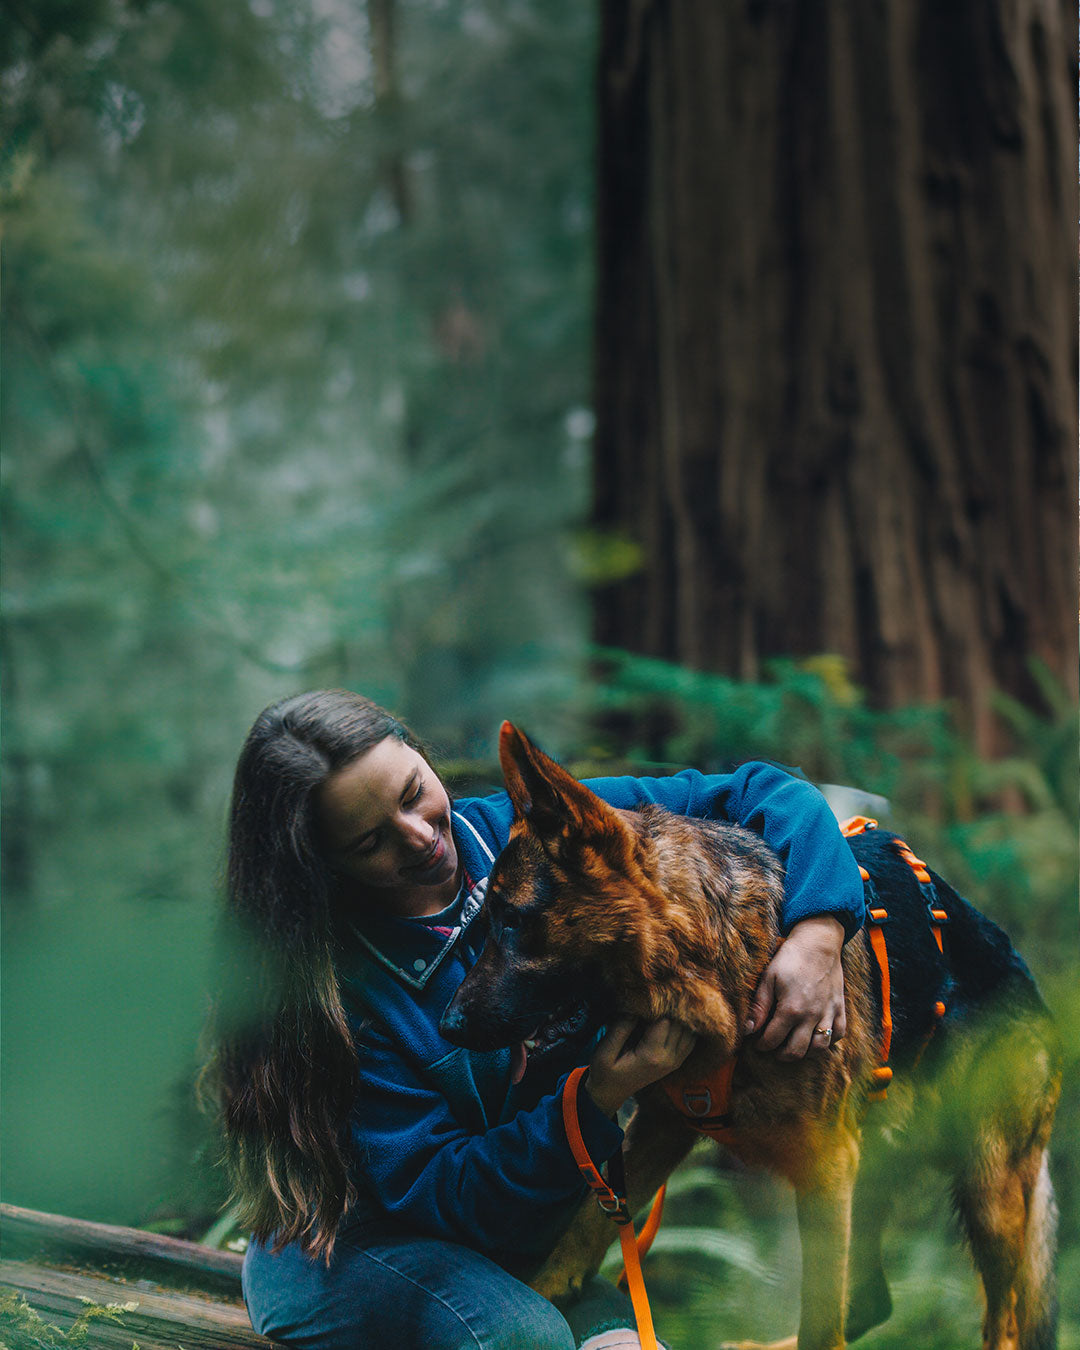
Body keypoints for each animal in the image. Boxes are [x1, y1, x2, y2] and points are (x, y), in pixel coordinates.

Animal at [440, 729, 1063, 1350]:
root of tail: (1027, 978)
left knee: (1000, 1321)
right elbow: (577, 1239)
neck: (722, 967)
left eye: (512, 921)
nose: (448, 1026)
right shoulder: (661, 1130)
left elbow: (820, 1323)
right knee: (870, 1302)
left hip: (987, 1187)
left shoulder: (826, 1167)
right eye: (485, 921)